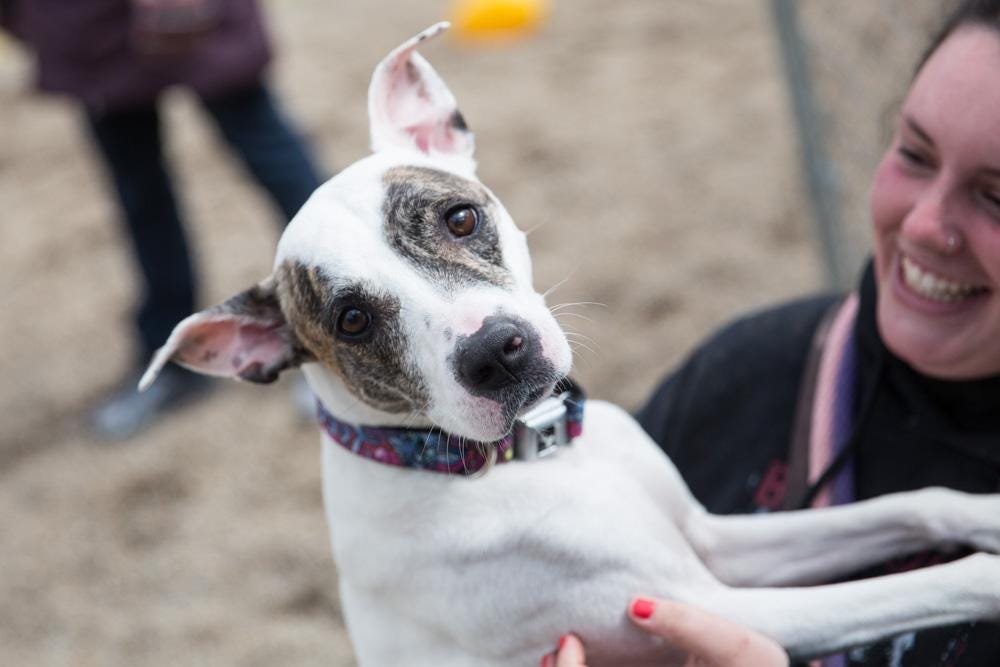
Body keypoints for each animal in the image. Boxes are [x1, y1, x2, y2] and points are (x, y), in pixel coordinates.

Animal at [141, 23, 1000, 664]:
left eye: (459, 217)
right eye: (353, 319)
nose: (496, 352)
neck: (532, 455)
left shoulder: (711, 541)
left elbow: (915, 503)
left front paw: (985, 511)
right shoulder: (714, 603)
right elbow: (916, 585)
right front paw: (987, 575)